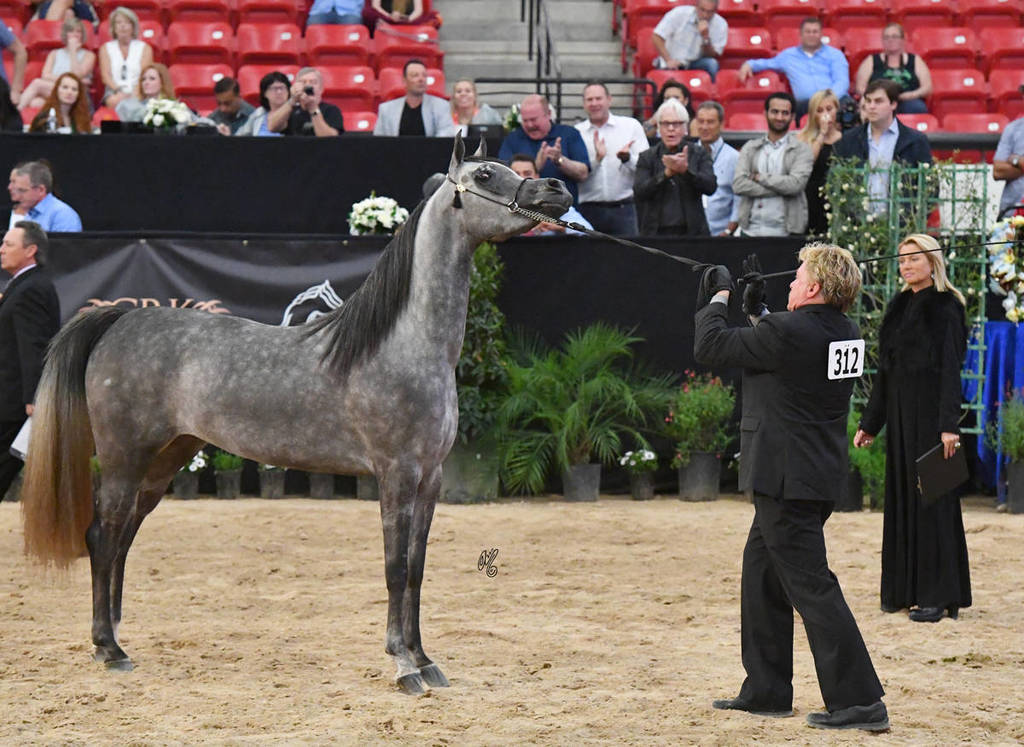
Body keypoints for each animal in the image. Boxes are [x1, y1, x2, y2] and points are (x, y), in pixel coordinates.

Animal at [20, 135, 573, 695]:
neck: (403, 344)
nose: (556, 189)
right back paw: (108, 648)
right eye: (484, 175)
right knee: (102, 535)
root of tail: (121, 318)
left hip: (164, 461)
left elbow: (416, 569)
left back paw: (113, 637)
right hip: (123, 458)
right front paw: (401, 665)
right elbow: (395, 568)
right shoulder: (396, 473)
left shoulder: (431, 477)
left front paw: (424, 659)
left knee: (122, 540)